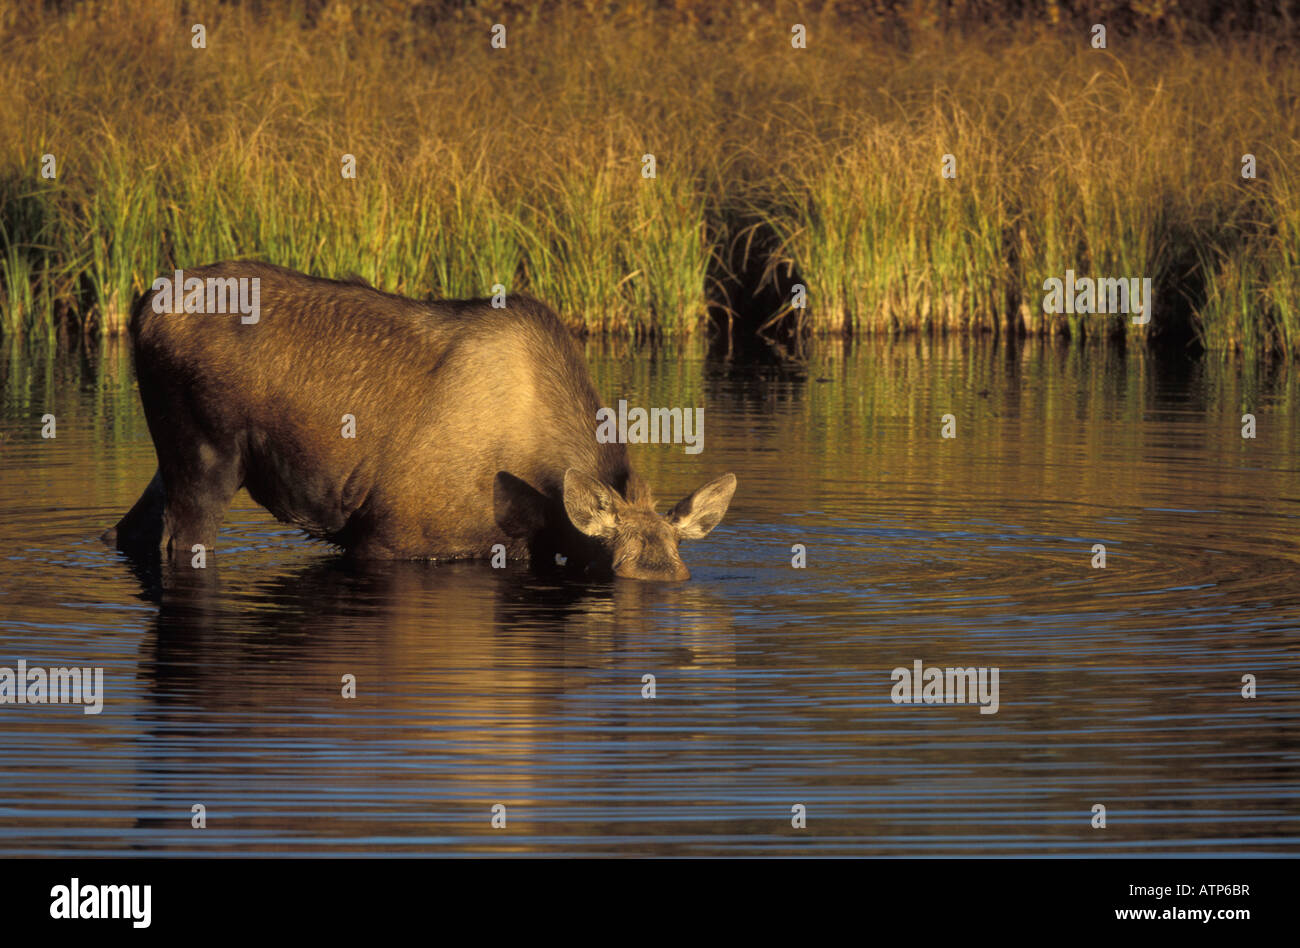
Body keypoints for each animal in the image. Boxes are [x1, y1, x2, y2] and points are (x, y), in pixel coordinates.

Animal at [106, 262, 738, 579]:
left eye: (680, 574)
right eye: (620, 571)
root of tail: (139, 307)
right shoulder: (389, 541)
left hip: (170, 458)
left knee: (128, 530)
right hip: (205, 455)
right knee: (179, 542)